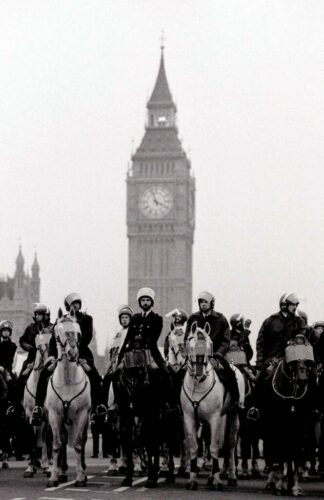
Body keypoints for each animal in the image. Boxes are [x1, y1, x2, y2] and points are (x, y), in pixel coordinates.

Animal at [44, 310, 91, 486]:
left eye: (78, 332)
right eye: (58, 333)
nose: (73, 353)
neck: (67, 380)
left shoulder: (82, 414)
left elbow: (78, 444)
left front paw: (80, 477)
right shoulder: (54, 415)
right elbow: (57, 445)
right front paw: (53, 477)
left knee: (82, 441)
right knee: (63, 442)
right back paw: (62, 472)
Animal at [113, 348, 165, 488]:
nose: (145, 382)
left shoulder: (149, 414)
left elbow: (149, 442)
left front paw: (151, 478)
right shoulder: (126, 415)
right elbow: (128, 441)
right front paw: (128, 478)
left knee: (155, 441)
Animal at [181, 322, 242, 490]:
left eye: (209, 345)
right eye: (191, 343)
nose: (199, 372)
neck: (198, 384)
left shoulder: (215, 418)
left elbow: (214, 447)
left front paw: (217, 481)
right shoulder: (189, 418)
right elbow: (194, 447)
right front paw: (192, 479)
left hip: (233, 414)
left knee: (230, 444)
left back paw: (232, 476)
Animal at [260, 334, 316, 494]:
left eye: (308, 362)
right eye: (293, 362)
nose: (303, 380)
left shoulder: (302, 429)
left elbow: (297, 456)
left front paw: (295, 486)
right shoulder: (277, 428)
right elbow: (279, 455)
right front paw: (279, 484)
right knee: (272, 455)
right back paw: (272, 481)